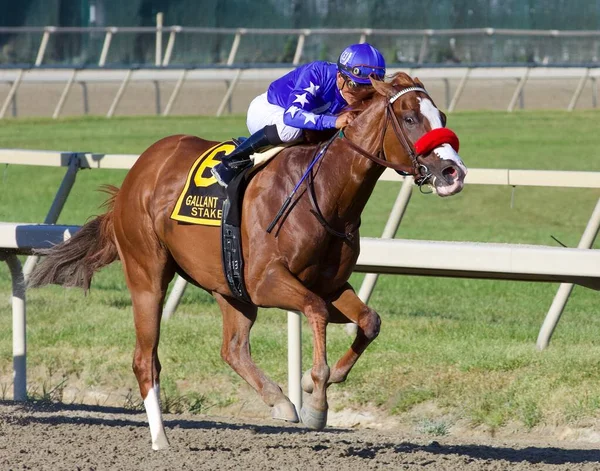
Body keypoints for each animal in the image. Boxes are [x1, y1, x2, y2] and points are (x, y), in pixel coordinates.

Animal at [29, 72, 468, 452]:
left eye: (442, 118)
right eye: (409, 117)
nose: (454, 172)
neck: (325, 193)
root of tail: (136, 174)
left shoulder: (327, 283)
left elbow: (368, 320)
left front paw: (317, 384)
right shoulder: (265, 281)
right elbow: (316, 310)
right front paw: (316, 400)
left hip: (228, 284)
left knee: (233, 349)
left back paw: (279, 401)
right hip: (148, 274)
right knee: (145, 360)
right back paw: (161, 439)